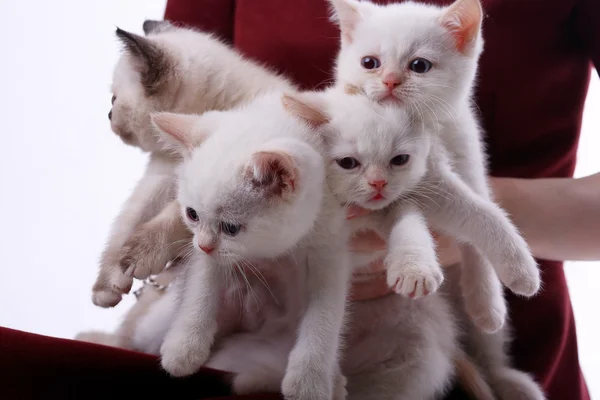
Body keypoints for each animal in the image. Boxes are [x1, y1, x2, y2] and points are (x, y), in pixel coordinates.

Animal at [91, 19, 292, 306]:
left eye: (113, 99)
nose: (109, 116)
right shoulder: (162, 177)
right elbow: (125, 225)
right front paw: (107, 285)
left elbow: (175, 217)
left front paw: (137, 257)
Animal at [147, 91, 350, 400]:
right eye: (192, 214)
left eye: (231, 228)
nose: (204, 245)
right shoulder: (207, 255)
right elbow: (202, 286)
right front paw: (185, 345)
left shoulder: (329, 246)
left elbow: (324, 314)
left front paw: (309, 380)